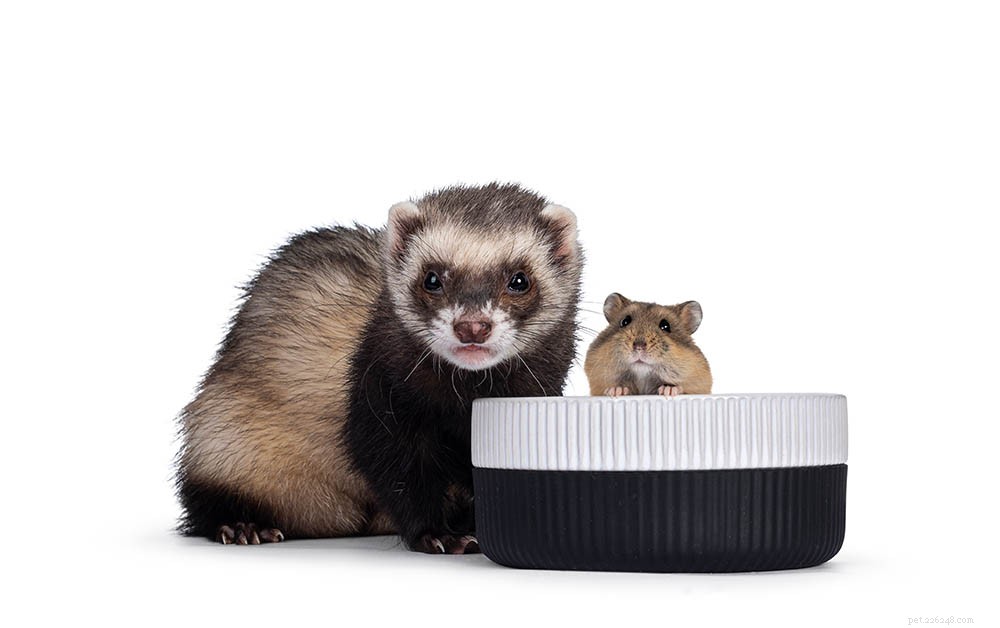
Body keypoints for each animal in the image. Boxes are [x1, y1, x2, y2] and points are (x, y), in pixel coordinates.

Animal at [176, 183, 583, 553]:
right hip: (224, 440)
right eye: (432, 277)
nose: (472, 326)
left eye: (520, 279)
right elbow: (399, 474)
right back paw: (244, 526)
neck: (462, 401)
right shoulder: (380, 402)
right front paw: (440, 534)